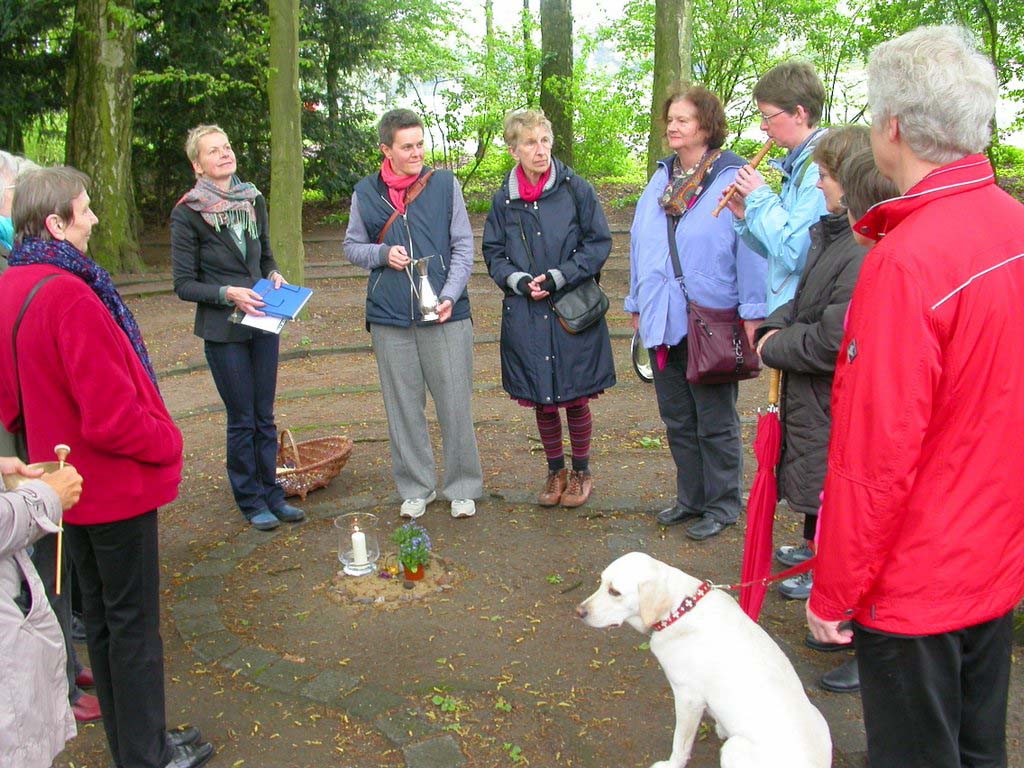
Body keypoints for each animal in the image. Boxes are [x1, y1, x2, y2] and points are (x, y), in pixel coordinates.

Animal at [577, 552, 831, 768]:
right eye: (601, 582)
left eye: (615, 592)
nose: (579, 612)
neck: (680, 610)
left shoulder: (688, 698)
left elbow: (680, 743)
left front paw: (671, 765)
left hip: (734, 749)